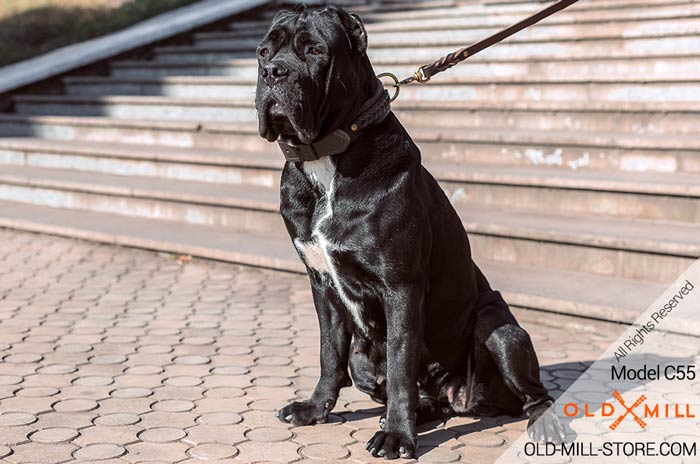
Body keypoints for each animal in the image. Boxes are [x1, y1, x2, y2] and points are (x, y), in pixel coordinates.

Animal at [254, 4, 568, 460]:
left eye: (314, 50)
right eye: (263, 52)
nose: (273, 72)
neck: (326, 160)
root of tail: (462, 400)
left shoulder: (400, 287)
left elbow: (402, 363)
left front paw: (398, 437)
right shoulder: (322, 285)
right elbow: (329, 353)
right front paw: (315, 409)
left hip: (501, 330)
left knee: (533, 392)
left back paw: (541, 422)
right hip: (363, 358)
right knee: (405, 389)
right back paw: (418, 412)